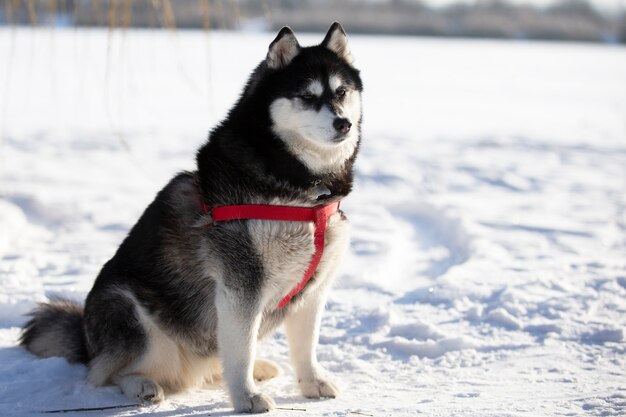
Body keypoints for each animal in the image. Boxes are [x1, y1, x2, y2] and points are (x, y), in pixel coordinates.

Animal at [20, 21, 360, 412]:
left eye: (342, 92)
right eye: (307, 96)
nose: (343, 124)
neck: (302, 191)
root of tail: (88, 342)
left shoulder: (315, 287)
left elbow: (305, 345)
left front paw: (311, 382)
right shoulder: (240, 285)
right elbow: (239, 351)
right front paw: (246, 398)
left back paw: (259, 367)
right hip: (128, 310)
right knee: (106, 373)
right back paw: (141, 385)